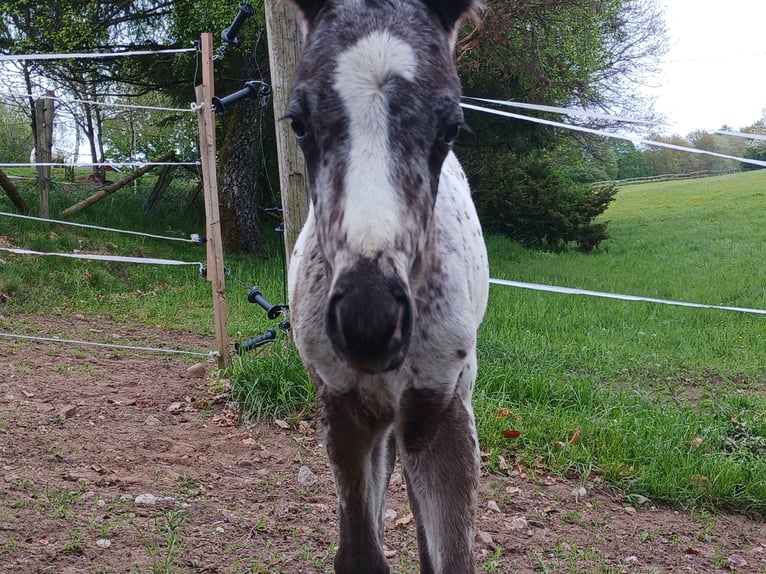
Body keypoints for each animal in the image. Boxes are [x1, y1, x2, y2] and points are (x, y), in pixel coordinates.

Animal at [284, 2, 488, 572]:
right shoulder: (342, 410)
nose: (369, 320)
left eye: (452, 127)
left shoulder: (439, 411)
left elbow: (449, 556)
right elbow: (359, 554)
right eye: (298, 123)